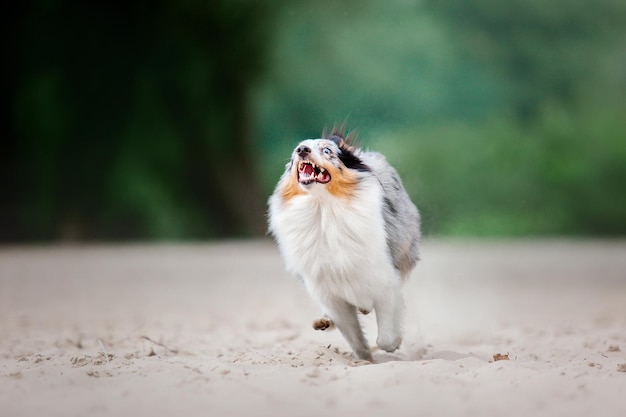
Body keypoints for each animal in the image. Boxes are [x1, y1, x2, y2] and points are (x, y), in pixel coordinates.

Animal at [266, 127, 420, 360]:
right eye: (296, 151)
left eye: (327, 150)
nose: (302, 150)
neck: (323, 209)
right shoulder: (327, 290)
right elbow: (354, 338)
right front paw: (365, 360)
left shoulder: (384, 278)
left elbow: (384, 336)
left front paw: (393, 345)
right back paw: (324, 320)